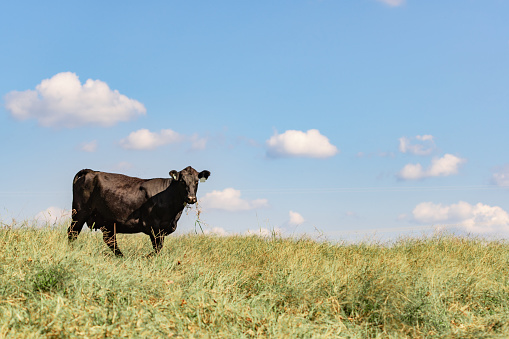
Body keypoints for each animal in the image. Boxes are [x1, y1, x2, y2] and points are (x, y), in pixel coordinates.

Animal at [68, 166, 209, 256]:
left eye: (196, 181)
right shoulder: (154, 227)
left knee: (110, 240)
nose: (191, 198)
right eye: (182, 181)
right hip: (79, 213)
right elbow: (157, 249)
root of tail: (91, 171)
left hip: (107, 222)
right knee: (72, 233)